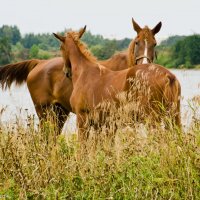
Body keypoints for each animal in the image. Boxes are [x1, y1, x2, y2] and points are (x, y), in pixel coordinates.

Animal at [0, 18, 162, 132]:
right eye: (137, 42)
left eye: (154, 44)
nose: (144, 65)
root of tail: (39, 62)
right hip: (44, 112)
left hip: (59, 112)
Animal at [53, 26, 181, 142]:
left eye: (60, 47)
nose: (66, 72)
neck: (84, 71)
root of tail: (168, 75)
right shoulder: (102, 124)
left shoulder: (82, 119)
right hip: (174, 117)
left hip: (153, 120)